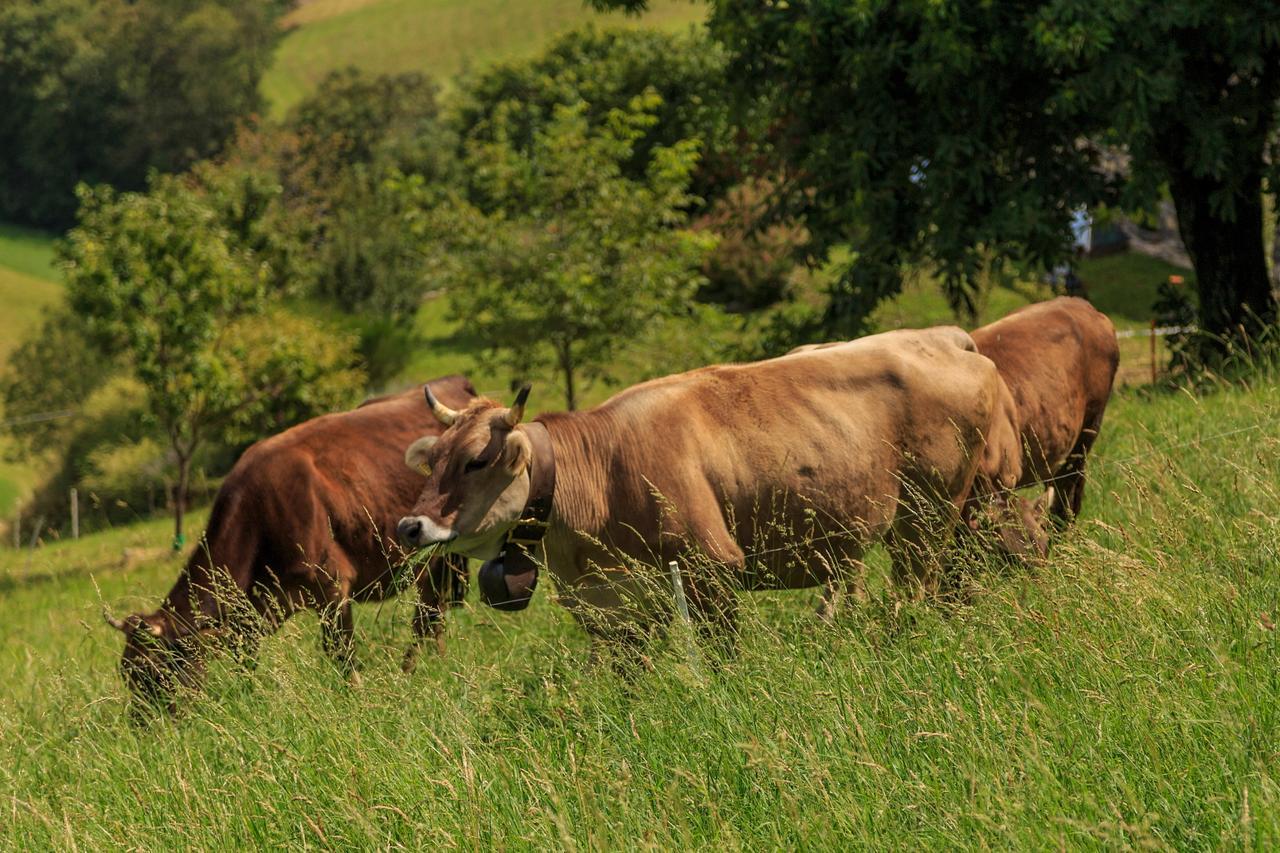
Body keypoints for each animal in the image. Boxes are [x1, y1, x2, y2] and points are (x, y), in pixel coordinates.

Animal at [103, 371, 476, 712]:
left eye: (155, 672)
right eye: (127, 673)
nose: (140, 726)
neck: (259, 513)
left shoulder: (332, 586)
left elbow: (341, 652)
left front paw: (357, 698)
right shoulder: (254, 613)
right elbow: (246, 663)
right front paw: (252, 700)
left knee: (428, 613)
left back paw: (411, 669)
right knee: (433, 607)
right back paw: (433, 661)